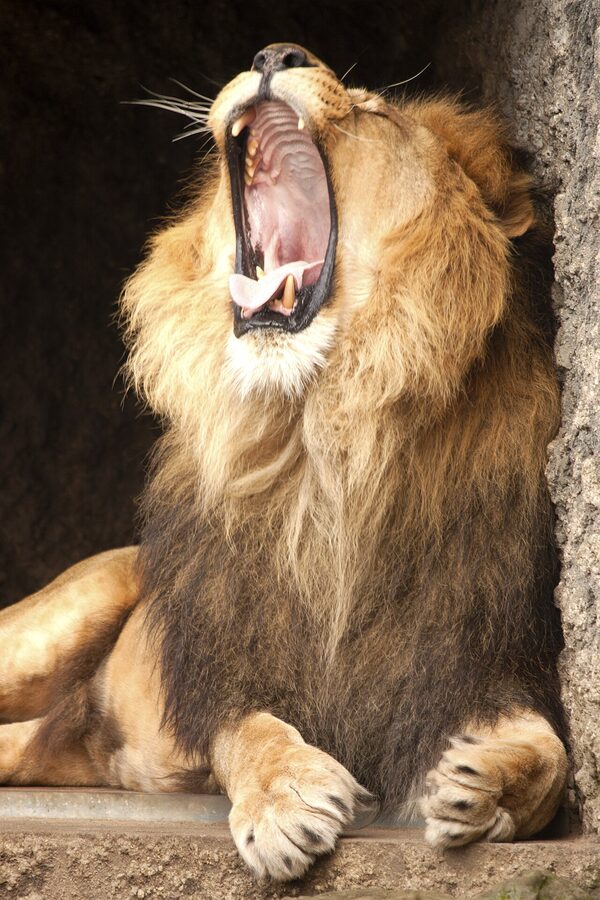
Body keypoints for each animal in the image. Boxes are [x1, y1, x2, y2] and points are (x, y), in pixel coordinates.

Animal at [0, 44, 568, 882]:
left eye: (374, 110)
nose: (273, 54)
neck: (318, 443)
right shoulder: (226, 665)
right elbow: (250, 729)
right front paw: (285, 801)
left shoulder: (477, 649)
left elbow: (551, 753)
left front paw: (485, 785)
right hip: (70, 611)